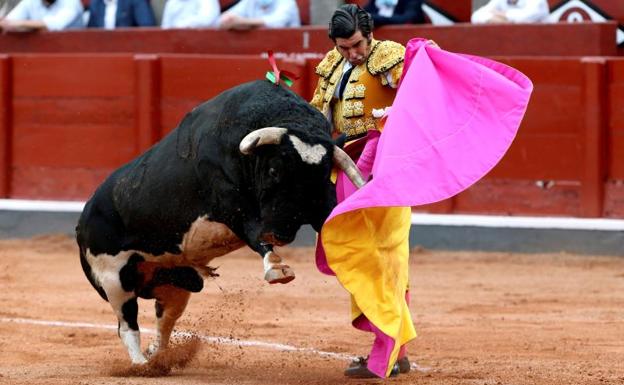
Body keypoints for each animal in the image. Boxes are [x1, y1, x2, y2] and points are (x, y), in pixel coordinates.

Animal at [75, 79, 364, 362]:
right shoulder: (232, 206)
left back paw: (157, 358)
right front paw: (277, 268)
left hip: (174, 282)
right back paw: (141, 365)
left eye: (323, 174)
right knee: (127, 326)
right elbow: (254, 233)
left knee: (164, 320)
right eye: (274, 170)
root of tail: (84, 218)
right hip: (114, 279)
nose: (280, 234)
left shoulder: (320, 202)